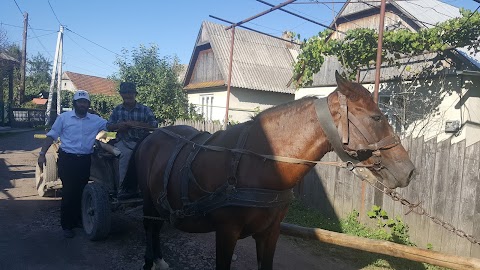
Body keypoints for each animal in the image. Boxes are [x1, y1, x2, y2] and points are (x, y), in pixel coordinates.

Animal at [129, 70, 414, 268]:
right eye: (376, 117)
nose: (409, 170)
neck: (259, 164)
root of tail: (151, 136)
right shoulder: (226, 232)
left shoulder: (269, 232)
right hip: (148, 201)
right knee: (149, 227)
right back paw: (150, 260)